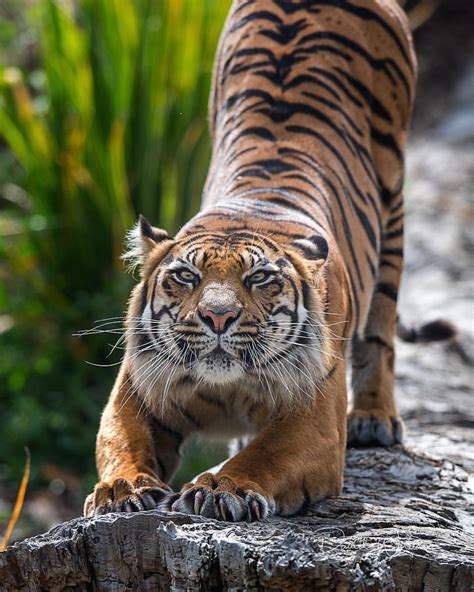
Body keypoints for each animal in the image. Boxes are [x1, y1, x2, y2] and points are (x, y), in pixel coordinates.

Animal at [85, 0, 452, 520]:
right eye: (185, 276)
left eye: (259, 278)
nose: (218, 317)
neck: (226, 390)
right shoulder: (136, 391)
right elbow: (122, 442)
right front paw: (123, 489)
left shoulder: (315, 419)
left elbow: (267, 454)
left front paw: (224, 487)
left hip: (393, 197)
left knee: (382, 325)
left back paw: (374, 418)